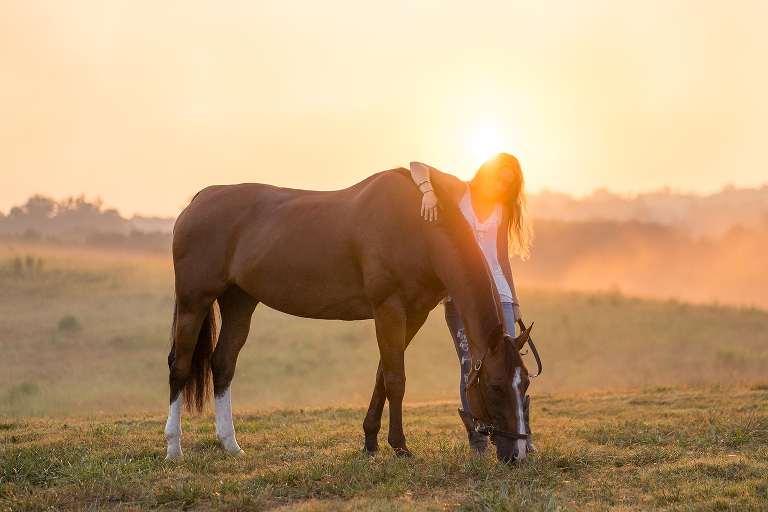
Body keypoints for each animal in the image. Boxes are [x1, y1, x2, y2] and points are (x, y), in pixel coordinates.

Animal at [164, 169, 536, 464]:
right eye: (496, 386)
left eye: (526, 383)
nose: (517, 455)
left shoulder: (412, 315)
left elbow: (382, 375)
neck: (417, 226)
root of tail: (200, 199)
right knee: (179, 365)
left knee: (223, 364)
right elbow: (396, 380)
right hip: (194, 303)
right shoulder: (388, 310)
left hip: (239, 302)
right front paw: (399, 446)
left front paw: (371, 441)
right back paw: (174, 449)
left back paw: (231, 445)